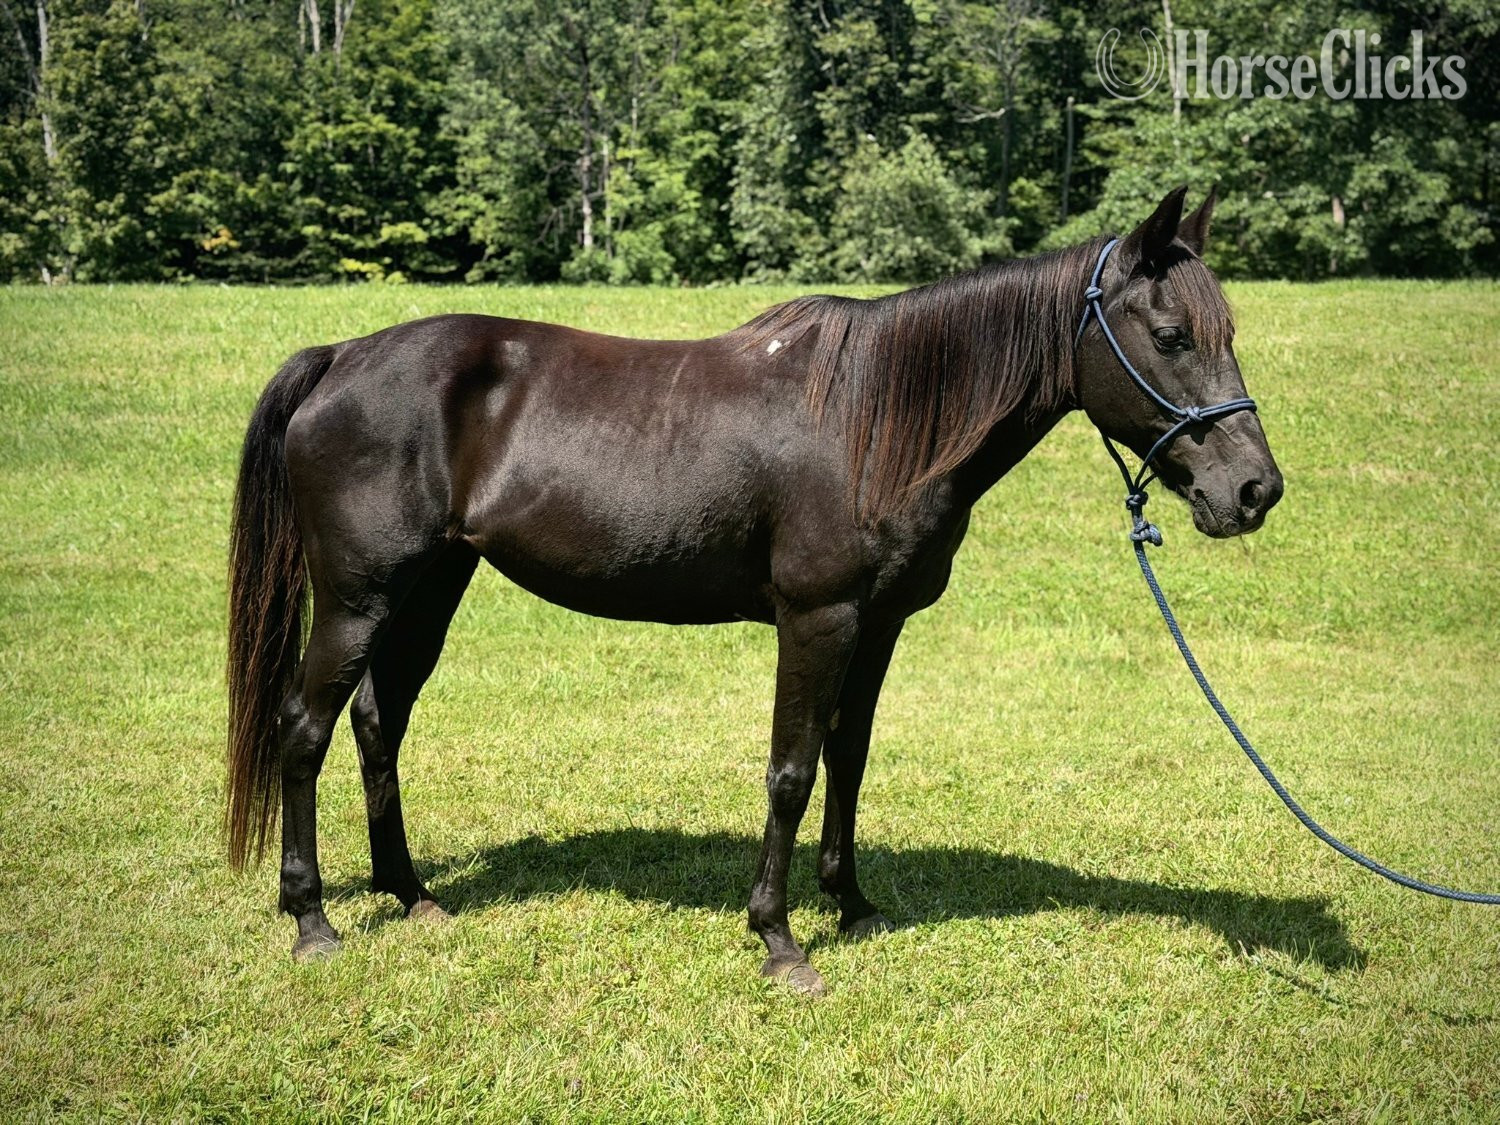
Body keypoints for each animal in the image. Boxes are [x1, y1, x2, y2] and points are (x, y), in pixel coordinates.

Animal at [226, 186, 1283, 993]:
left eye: (1227, 330)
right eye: (1171, 333)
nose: (1253, 490)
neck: (872, 417)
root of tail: (341, 357)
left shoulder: (878, 624)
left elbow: (848, 758)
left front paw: (850, 902)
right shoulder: (817, 620)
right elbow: (792, 769)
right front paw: (779, 938)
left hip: (429, 590)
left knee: (378, 724)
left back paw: (410, 894)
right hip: (357, 600)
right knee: (305, 729)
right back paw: (312, 918)